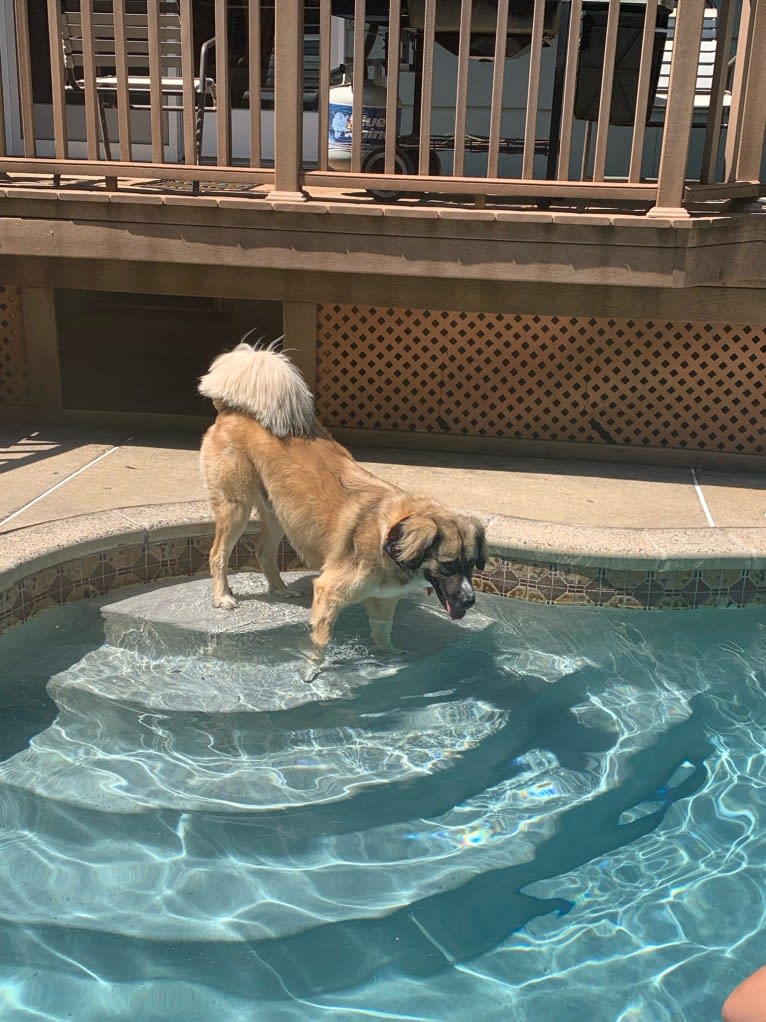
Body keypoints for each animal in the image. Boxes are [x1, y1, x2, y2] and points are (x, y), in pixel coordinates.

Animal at [198, 339, 486, 649]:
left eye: (472, 565)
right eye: (447, 566)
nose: (469, 601)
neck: (390, 537)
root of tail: (231, 409)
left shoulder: (383, 604)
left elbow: (383, 640)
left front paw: (391, 657)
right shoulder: (329, 593)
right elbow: (321, 645)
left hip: (279, 511)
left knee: (264, 551)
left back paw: (280, 588)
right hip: (236, 505)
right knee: (217, 552)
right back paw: (223, 596)